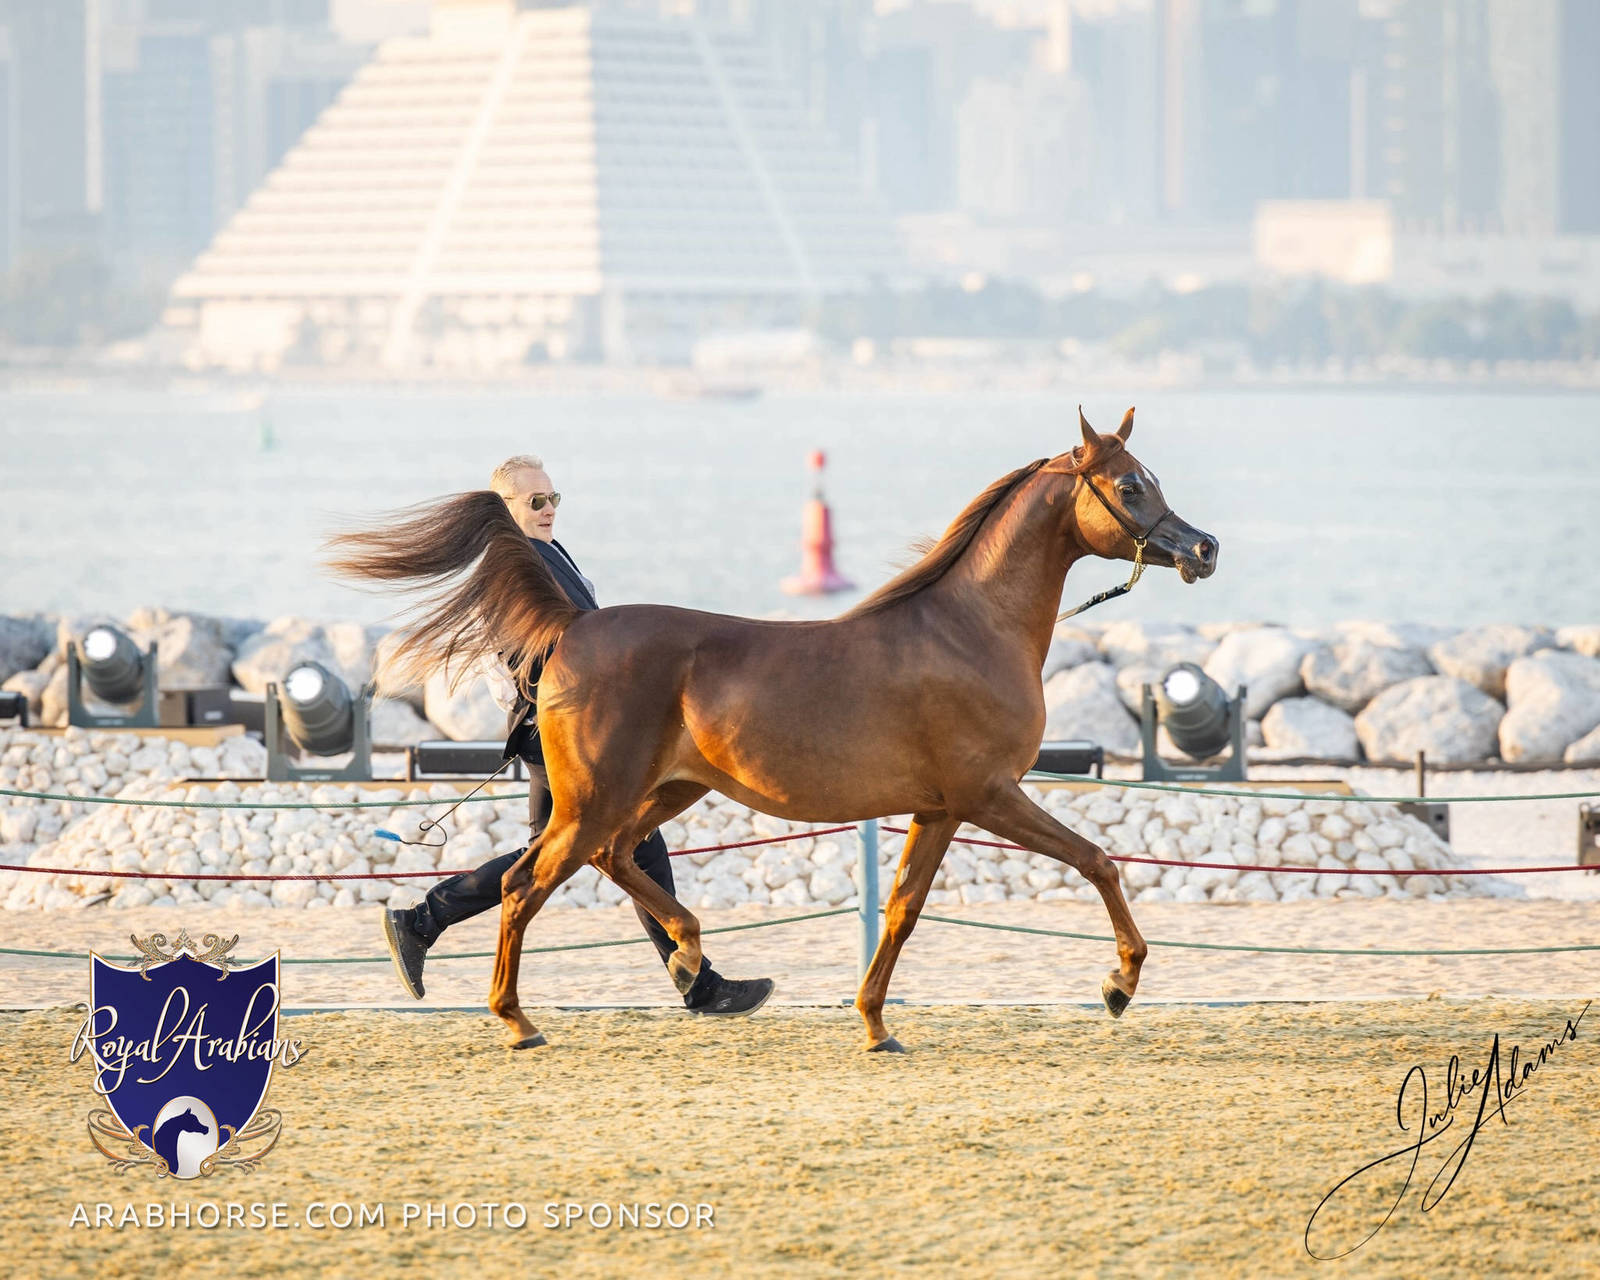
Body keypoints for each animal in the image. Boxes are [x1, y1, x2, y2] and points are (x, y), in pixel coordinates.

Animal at [327, 407, 1218, 1051]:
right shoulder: (989, 795)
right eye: (1129, 486)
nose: (1203, 549)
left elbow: (902, 910)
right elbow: (1098, 861)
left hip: (663, 793)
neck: (968, 631)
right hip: (594, 802)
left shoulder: (937, 810)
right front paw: (1119, 985)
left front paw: (875, 1025)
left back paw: (695, 963)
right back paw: (519, 1020)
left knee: (616, 862)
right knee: (524, 883)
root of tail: (571, 630)